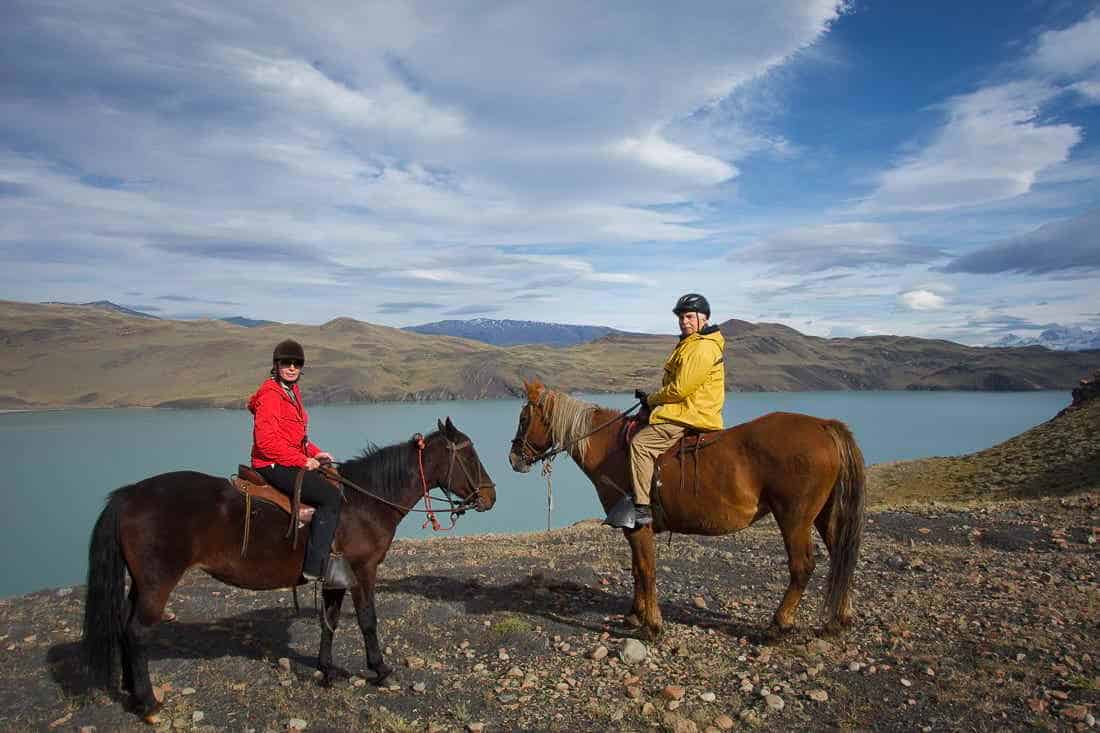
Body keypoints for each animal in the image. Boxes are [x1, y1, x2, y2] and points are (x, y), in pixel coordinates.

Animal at [83, 416, 497, 717]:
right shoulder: (363, 570)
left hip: (140, 583)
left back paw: (132, 693)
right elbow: (367, 620)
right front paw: (380, 670)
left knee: (125, 627)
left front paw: (328, 671)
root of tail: (128, 495)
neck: (365, 501)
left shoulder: (335, 577)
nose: (490, 496)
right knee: (137, 632)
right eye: (469, 456)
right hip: (158, 583)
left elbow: (329, 623)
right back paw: (149, 703)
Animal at [510, 378, 862, 638]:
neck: (614, 450)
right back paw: (839, 619)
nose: (513, 458)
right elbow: (636, 571)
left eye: (524, 418)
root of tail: (824, 426)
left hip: (794, 518)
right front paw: (635, 615)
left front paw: (652, 624)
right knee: (840, 556)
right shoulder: (632, 531)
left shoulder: (639, 527)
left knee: (803, 566)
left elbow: (645, 570)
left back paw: (780, 622)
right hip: (823, 516)